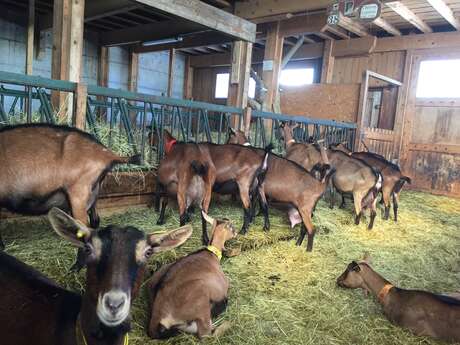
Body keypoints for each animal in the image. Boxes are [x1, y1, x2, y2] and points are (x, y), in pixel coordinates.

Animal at [147, 210, 235, 338]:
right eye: (231, 227)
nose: (236, 233)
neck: (211, 253)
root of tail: (157, 316)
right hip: (200, 296)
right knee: (206, 334)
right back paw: (227, 323)